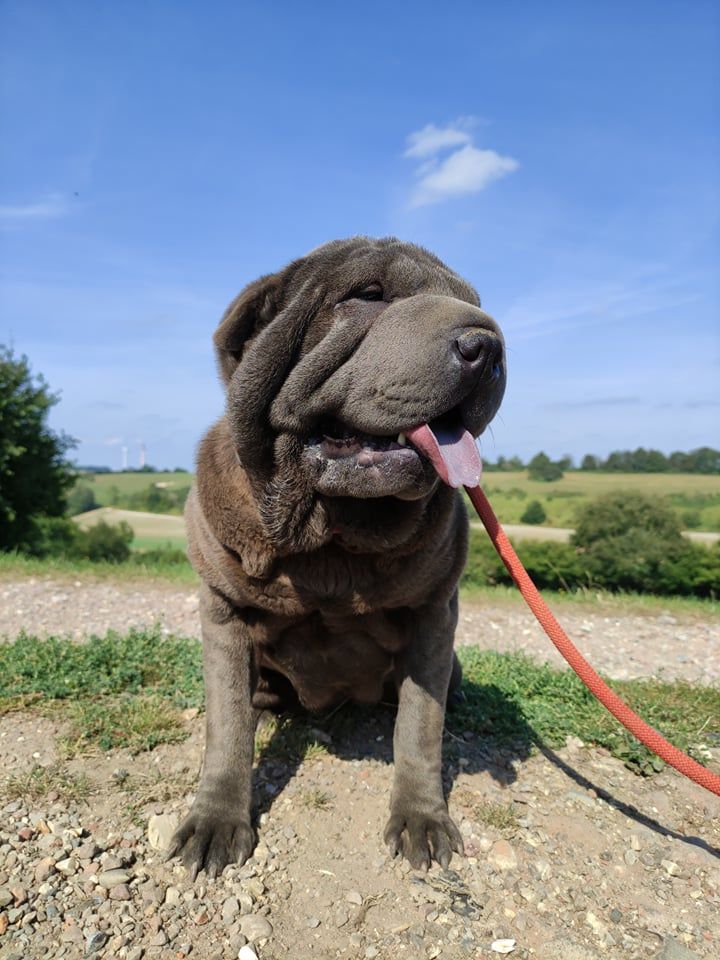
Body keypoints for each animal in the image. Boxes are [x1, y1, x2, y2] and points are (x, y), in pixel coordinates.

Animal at [168, 238, 506, 876]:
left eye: (472, 300)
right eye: (368, 295)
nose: (488, 346)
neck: (332, 539)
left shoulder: (434, 615)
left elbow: (419, 726)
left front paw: (422, 818)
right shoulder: (222, 612)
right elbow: (227, 727)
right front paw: (216, 820)